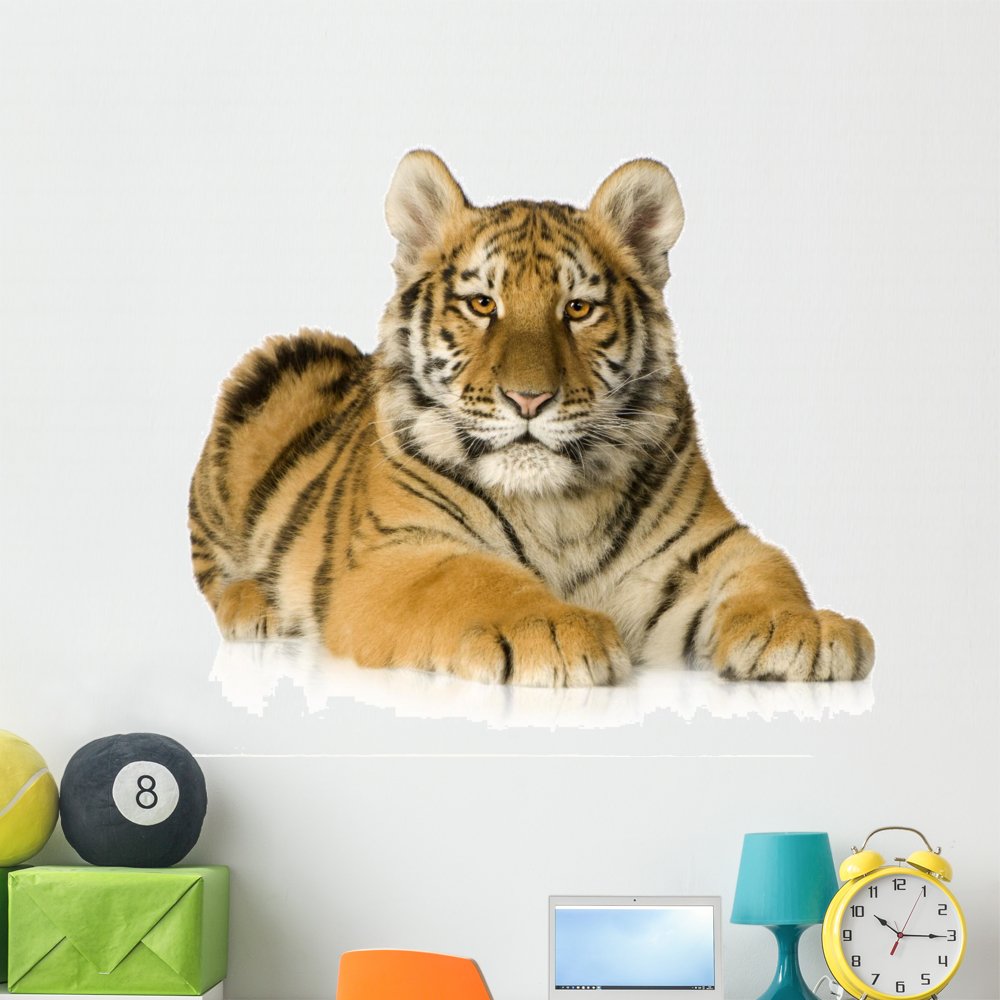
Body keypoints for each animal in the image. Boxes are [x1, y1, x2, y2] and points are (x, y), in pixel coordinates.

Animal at [188, 150, 874, 687]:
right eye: (481, 303)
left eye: (578, 309)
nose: (528, 400)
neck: (558, 506)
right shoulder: (396, 553)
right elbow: (472, 578)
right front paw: (551, 628)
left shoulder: (703, 546)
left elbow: (768, 571)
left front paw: (809, 628)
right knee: (214, 574)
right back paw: (256, 608)